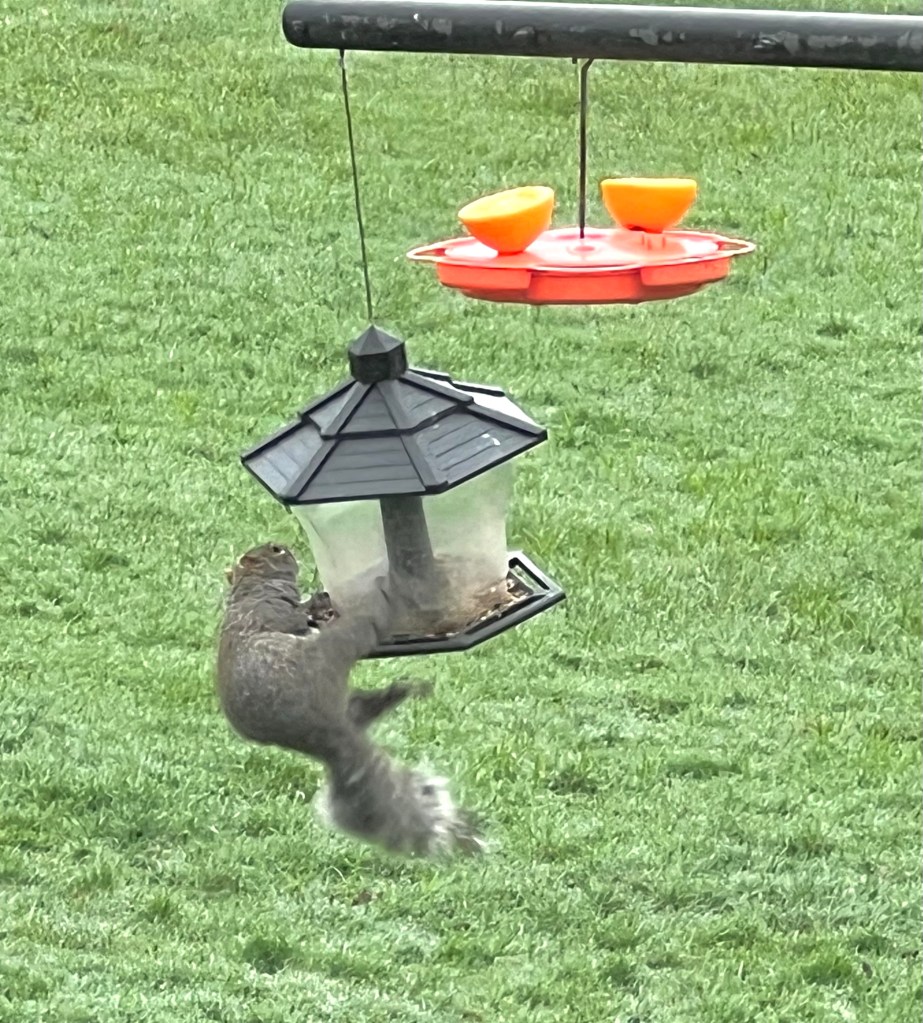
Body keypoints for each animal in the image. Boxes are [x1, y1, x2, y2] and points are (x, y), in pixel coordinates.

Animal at [216, 542, 485, 858]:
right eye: (276, 550)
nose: (289, 549)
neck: (252, 588)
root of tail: (325, 734)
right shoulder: (271, 612)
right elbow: (295, 617)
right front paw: (314, 602)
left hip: (346, 698)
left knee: (364, 707)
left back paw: (403, 690)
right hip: (331, 650)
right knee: (364, 631)